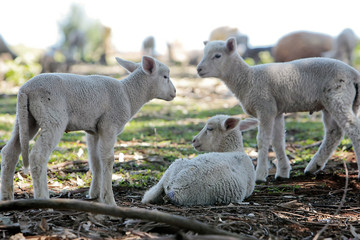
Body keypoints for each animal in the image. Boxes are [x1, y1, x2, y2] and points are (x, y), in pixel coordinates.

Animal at [0, 55, 177, 204]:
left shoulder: (94, 131)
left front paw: (95, 195)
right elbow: (108, 160)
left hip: (25, 118)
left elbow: (95, 162)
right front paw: (109, 200)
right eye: (165, 76)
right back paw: (43, 199)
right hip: (52, 118)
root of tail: (25, 89)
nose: (175, 92)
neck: (129, 94)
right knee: (38, 156)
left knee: (10, 151)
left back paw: (7, 197)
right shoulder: (109, 125)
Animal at [195, 37, 360, 182]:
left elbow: (263, 141)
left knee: (353, 129)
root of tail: (354, 74)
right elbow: (277, 141)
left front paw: (260, 175)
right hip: (333, 103)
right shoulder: (276, 112)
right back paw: (314, 166)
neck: (247, 79)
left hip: (337, 97)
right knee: (335, 132)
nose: (198, 69)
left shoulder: (265, 107)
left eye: (217, 55)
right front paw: (282, 172)